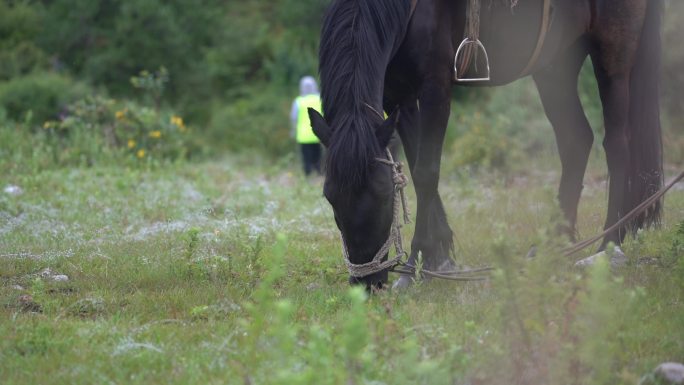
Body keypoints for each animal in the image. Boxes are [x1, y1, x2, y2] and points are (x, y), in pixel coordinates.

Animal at [308, 0, 664, 288]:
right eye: (330, 196)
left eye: (384, 195)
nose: (367, 282)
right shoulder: (399, 96)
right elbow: (415, 163)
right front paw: (440, 257)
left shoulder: (436, 86)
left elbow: (426, 172)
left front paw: (415, 266)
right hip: (555, 66)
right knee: (575, 140)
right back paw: (554, 243)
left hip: (613, 54)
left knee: (616, 145)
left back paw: (609, 243)